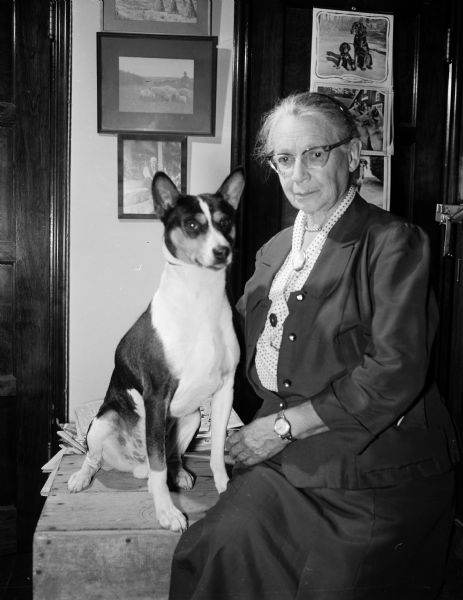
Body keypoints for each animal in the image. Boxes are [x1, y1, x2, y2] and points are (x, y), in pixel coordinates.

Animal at [68, 168, 246, 528]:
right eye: (192, 225)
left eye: (225, 222)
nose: (223, 251)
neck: (201, 299)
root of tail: (134, 461)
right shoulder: (157, 395)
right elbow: (159, 466)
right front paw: (167, 513)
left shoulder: (225, 391)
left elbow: (217, 451)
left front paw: (223, 486)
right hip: (103, 423)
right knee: (102, 459)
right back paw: (82, 477)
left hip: (190, 418)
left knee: (170, 455)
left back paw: (180, 474)